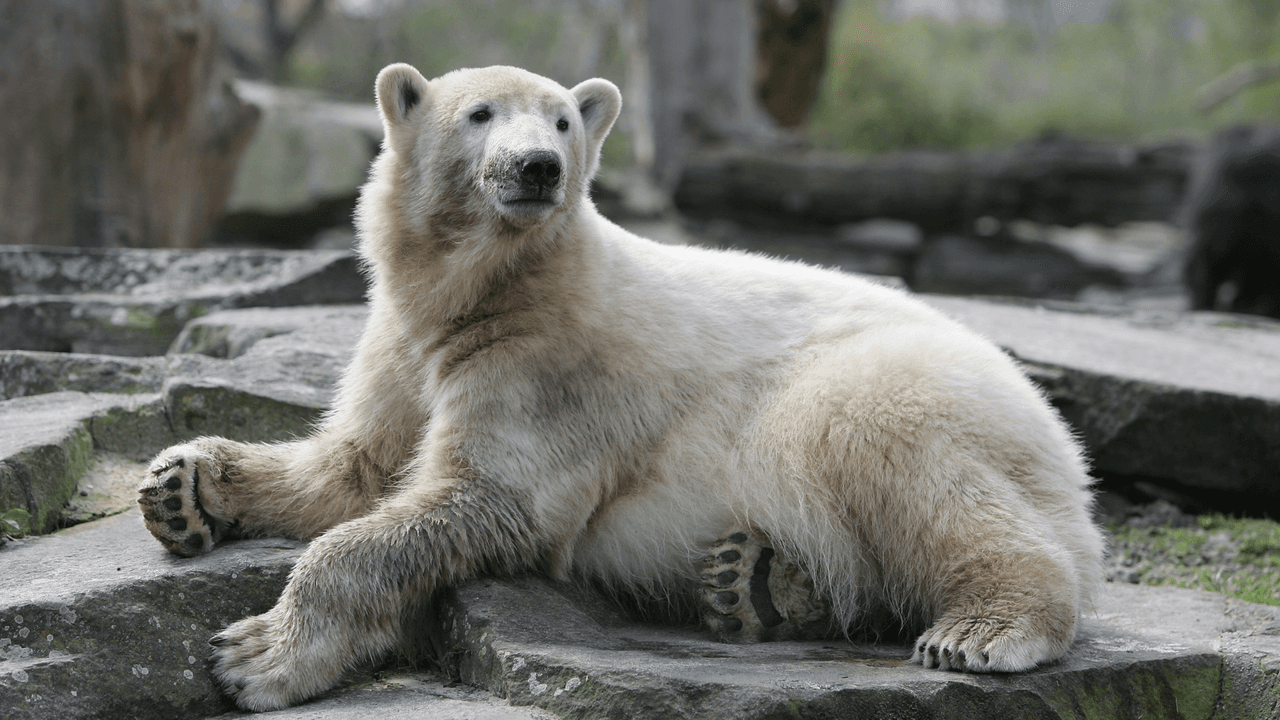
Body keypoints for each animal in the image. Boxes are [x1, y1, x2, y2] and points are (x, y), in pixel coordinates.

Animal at [137, 63, 1104, 711]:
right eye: (481, 113)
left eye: (564, 120)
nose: (537, 166)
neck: (489, 292)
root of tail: (1062, 440)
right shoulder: (403, 345)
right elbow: (356, 464)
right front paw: (182, 486)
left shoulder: (551, 369)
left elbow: (481, 498)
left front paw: (258, 656)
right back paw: (749, 581)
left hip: (905, 386)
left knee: (896, 452)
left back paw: (979, 629)